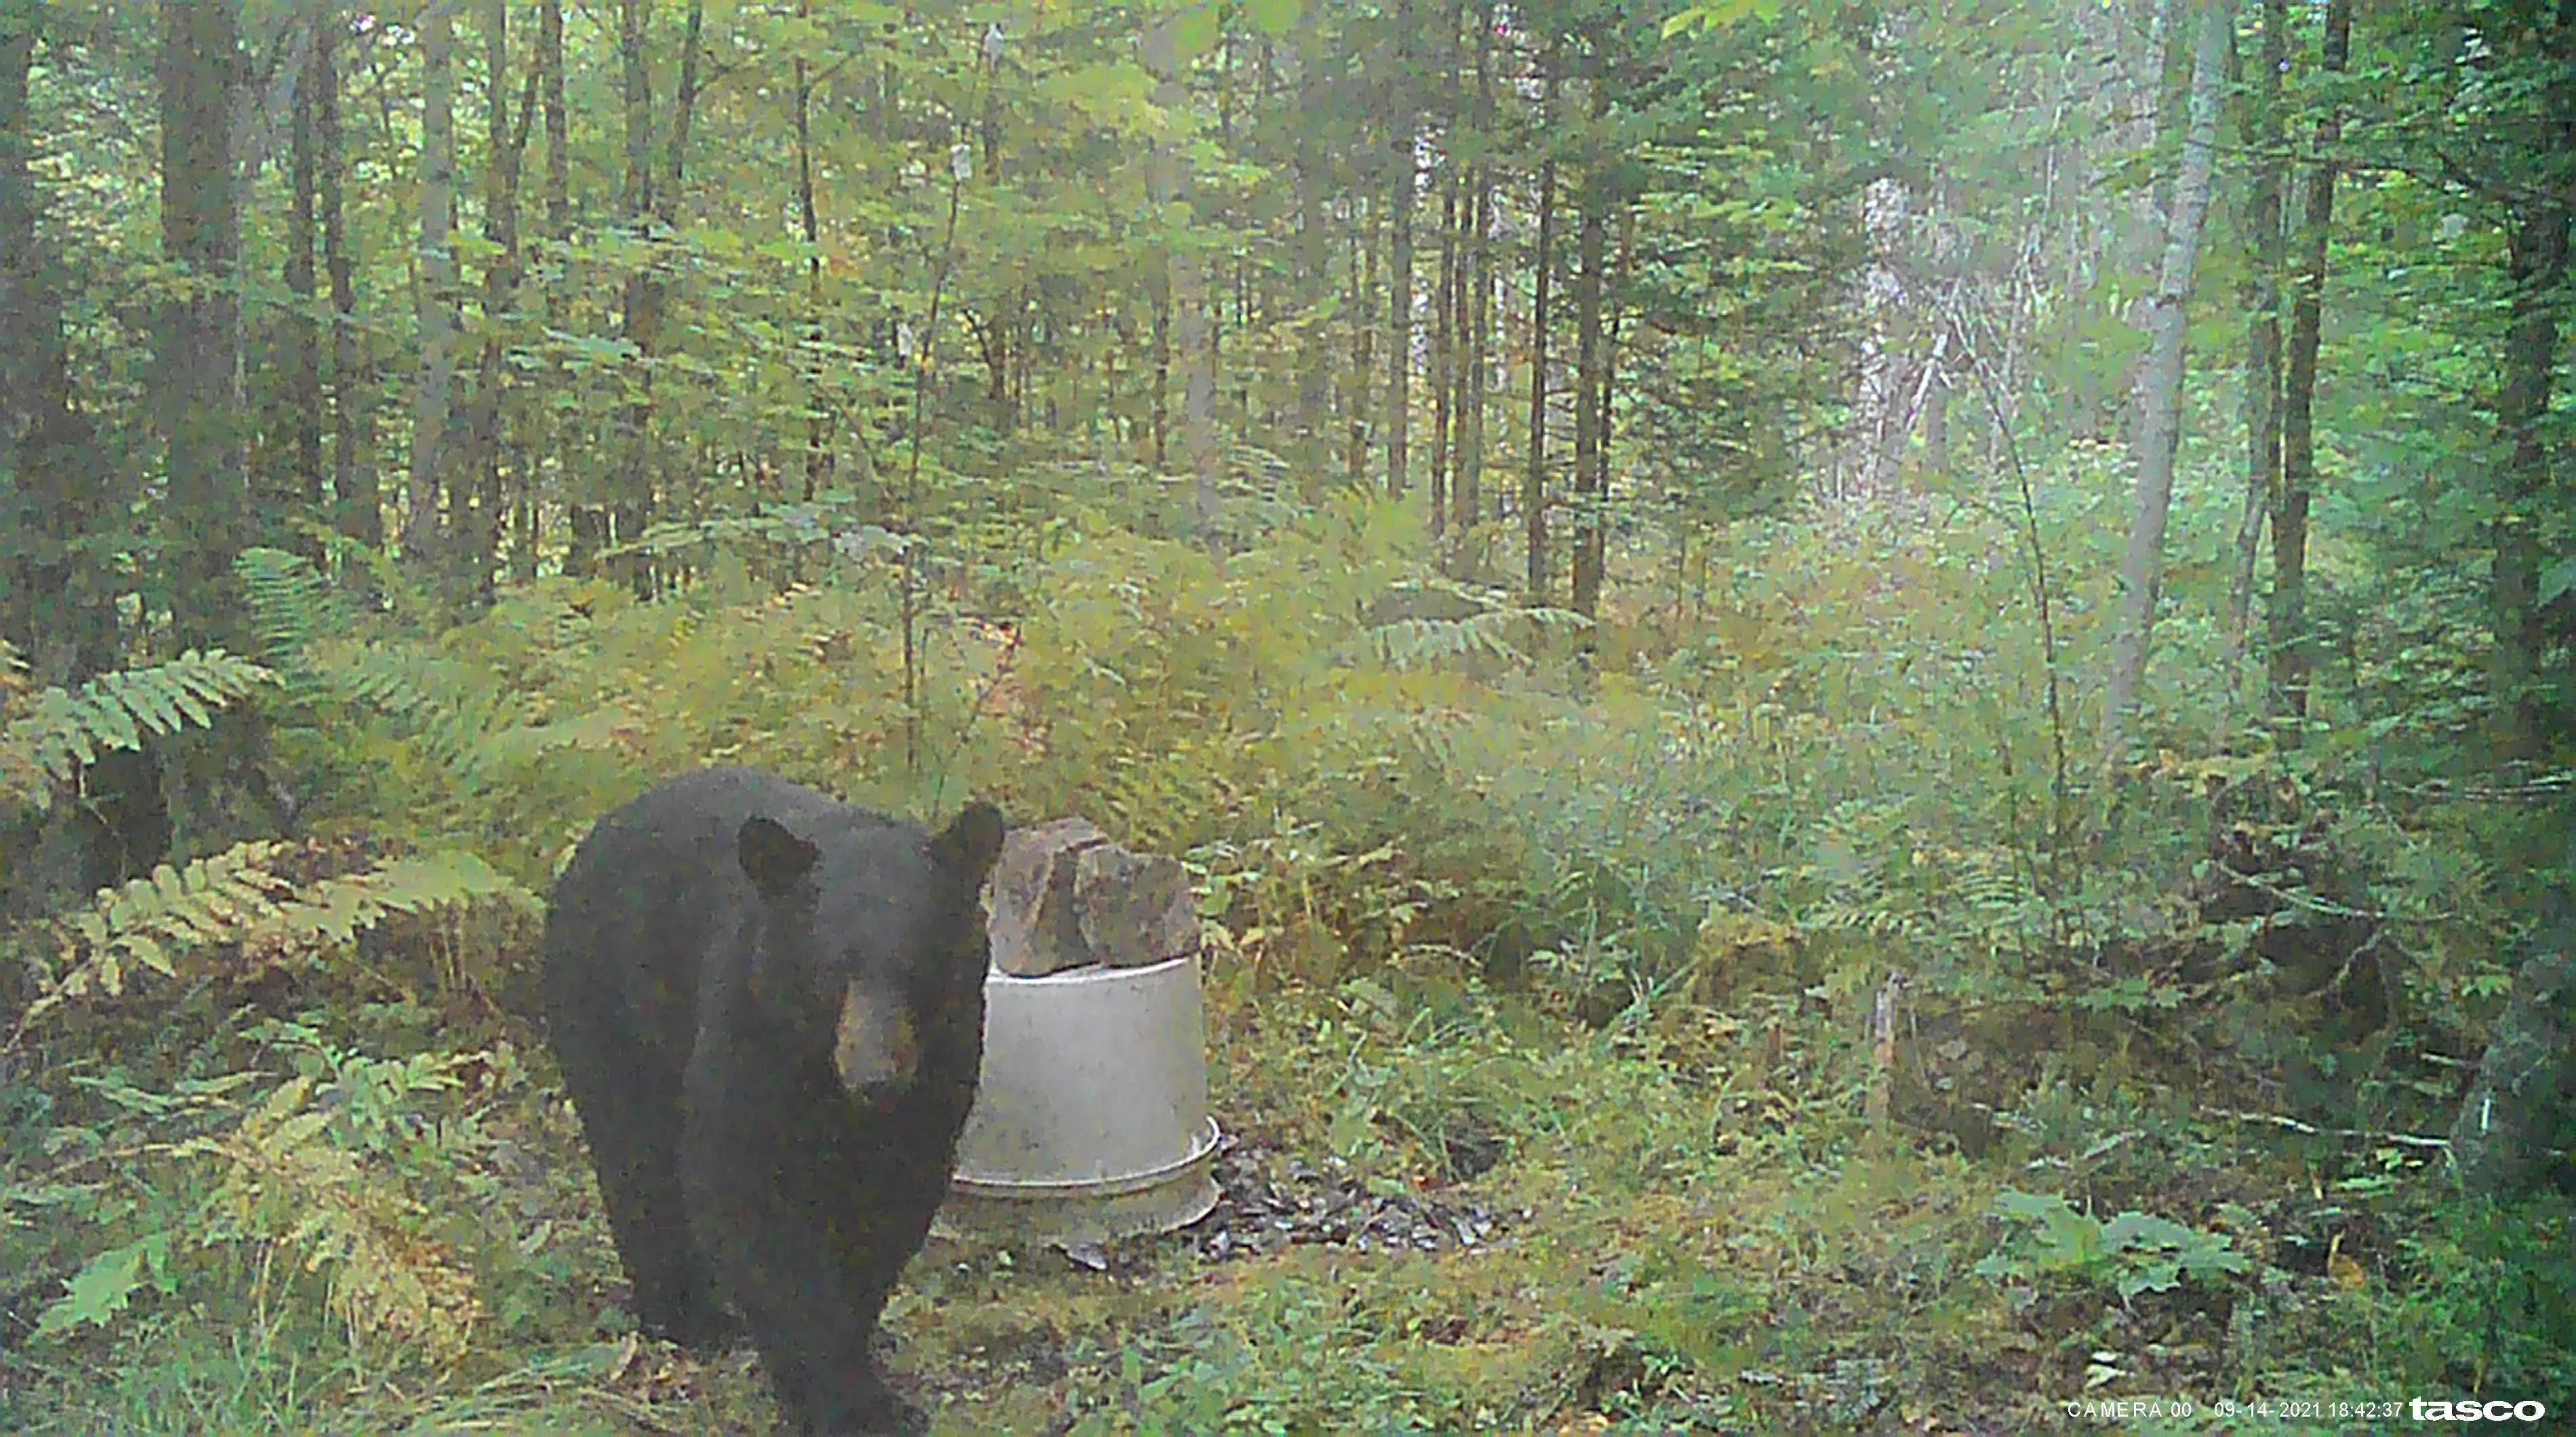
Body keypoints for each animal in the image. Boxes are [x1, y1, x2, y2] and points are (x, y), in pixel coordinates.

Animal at [541, 767, 1005, 1435]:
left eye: (917, 964)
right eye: (834, 968)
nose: (875, 1078)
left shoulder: (944, 1059)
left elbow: (890, 1202)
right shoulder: (754, 1026)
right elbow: (750, 1196)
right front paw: (852, 1404)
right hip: (610, 1002)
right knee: (639, 1163)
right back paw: (689, 1316)